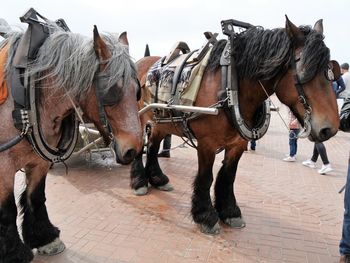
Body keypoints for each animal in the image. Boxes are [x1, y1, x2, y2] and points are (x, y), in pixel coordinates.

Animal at [0, 19, 142, 262]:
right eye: (111, 91)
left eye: (137, 91)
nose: (133, 149)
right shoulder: (4, 165)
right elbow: (8, 209)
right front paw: (14, 253)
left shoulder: (40, 161)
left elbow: (35, 196)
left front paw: (45, 237)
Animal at [131, 18, 340, 235]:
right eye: (305, 70)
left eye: (331, 72)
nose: (330, 129)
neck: (229, 86)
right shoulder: (207, 143)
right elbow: (206, 177)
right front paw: (205, 215)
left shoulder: (238, 143)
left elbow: (228, 176)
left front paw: (230, 211)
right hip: (138, 119)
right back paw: (139, 181)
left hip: (160, 122)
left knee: (153, 145)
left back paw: (157, 178)